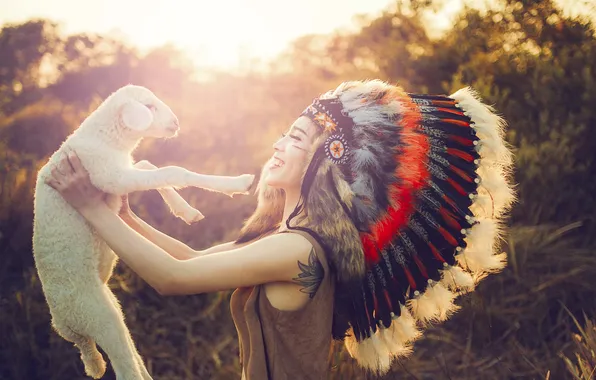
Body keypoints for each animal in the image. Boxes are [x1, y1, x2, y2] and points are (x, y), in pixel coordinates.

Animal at [32, 84, 256, 378]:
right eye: (149, 107)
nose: (176, 123)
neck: (107, 140)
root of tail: (64, 325)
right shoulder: (109, 175)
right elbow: (172, 170)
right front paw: (237, 184)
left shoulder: (123, 173)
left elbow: (150, 165)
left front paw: (184, 209)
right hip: (94, 313)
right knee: (124, 366)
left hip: (109, 311)